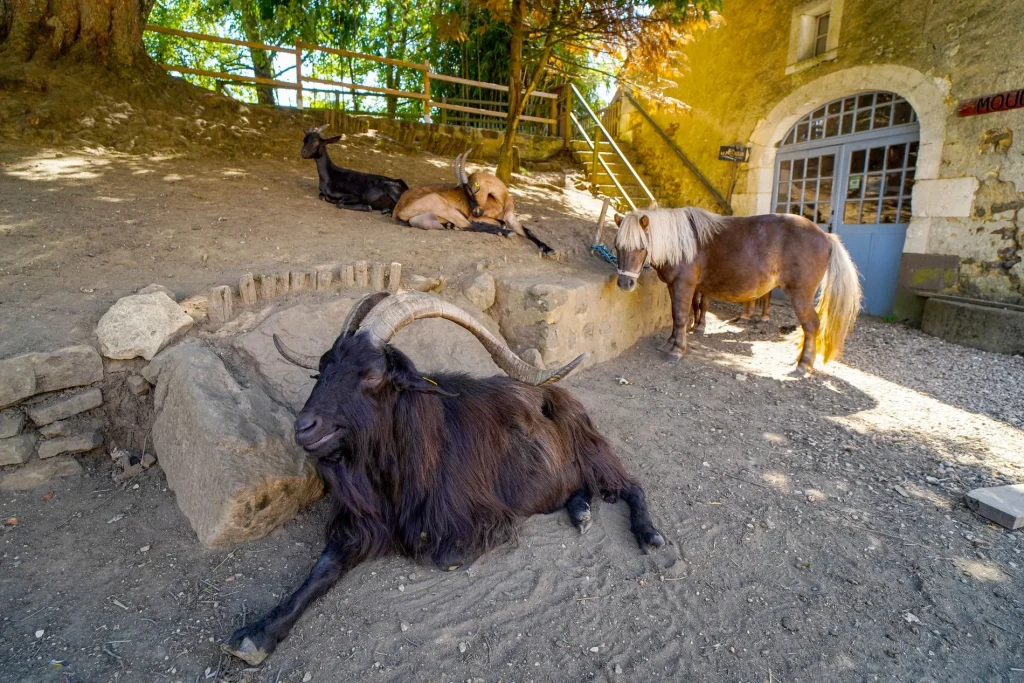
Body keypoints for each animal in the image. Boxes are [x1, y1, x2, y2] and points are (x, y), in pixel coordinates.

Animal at [222, 290, 663, 663]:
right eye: (322, 368)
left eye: (371, 374)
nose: (304, 428)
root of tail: (558, 395)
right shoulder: (361, 524)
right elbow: (323, 567)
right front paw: (255, 635)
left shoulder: (481, 519)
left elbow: (445, 554)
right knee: (579, 490)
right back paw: (581, 512)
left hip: (594, 453)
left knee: (632, 485)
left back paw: (649, 535)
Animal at [614, 205, 864, 376]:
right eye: (617, 246)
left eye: (641, 247)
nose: (624, 284)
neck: (684, 244)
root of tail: (826, 237)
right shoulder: (676, 287)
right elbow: (679, 317)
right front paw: (671, 342)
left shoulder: (683, 285)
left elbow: (681, 316)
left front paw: (677, 350)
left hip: (800, 295)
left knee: (811, 325)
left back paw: (803, 365)